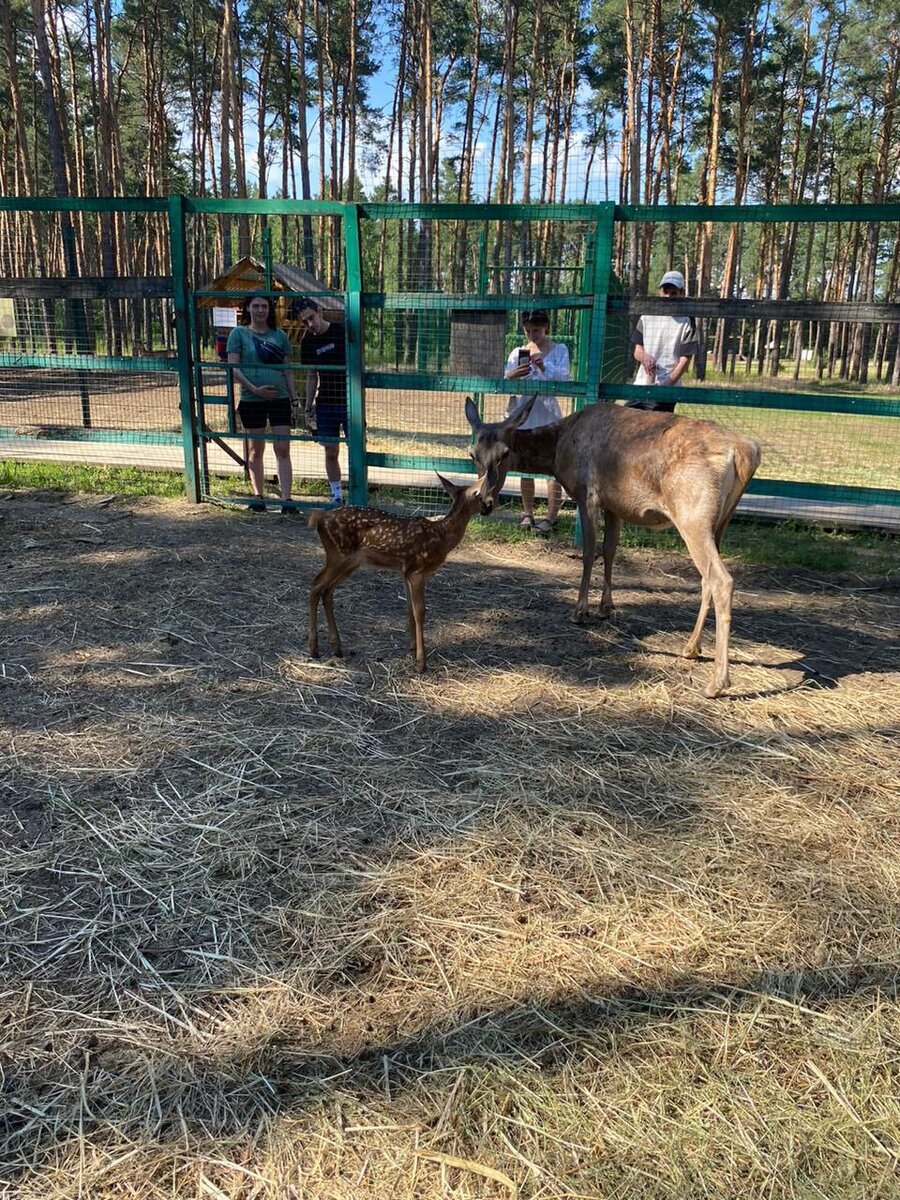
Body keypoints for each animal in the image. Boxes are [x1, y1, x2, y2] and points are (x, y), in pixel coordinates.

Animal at [312, 470, 494, 676]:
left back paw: (337, 647)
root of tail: (320, 519)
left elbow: (409, 608)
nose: (489, 507)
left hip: (349, 563)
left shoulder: (406, 571)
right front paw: (421, 663)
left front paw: (413, 650)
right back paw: (314, 648)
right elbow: (420, 611)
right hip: (338, 556)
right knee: (316, 586)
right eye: (480, 495)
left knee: (327, 591)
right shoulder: (417, 571)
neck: (441, 536)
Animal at [468, 396, 763, 696]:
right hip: (722, 519)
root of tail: (746, 452)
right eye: (473, 454)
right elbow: (610, 550)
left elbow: (589, 552)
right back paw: (691, 647)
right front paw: (606, 608)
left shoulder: (587, 494)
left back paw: (717, 682)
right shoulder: (615, 505)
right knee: (706, 579)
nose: (485, 502)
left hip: (693, 514)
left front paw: (580, 611)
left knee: (721, 579)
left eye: (504, 453)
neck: (558, 450)